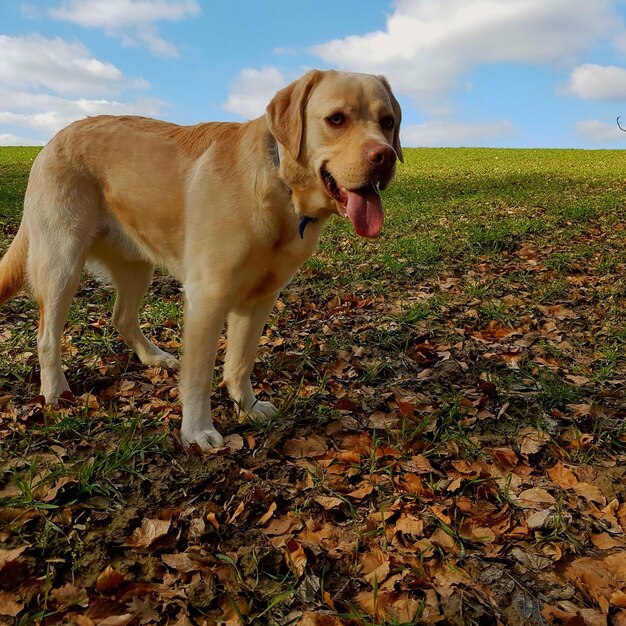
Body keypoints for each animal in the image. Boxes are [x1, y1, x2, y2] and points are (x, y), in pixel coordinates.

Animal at [0, 68, 400, 448]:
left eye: (387, 121)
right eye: (336, 119)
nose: (385, 156)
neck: (280, 187)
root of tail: (53, 138)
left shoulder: (259, 300)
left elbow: (239, 363)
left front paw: (247, 407)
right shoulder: (207, 299)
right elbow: (199, 376)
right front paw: (197, 430)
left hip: (137, 265)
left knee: (121, 317)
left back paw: (154, 357)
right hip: (61, 265)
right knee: (47, 336)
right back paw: (56, 391)